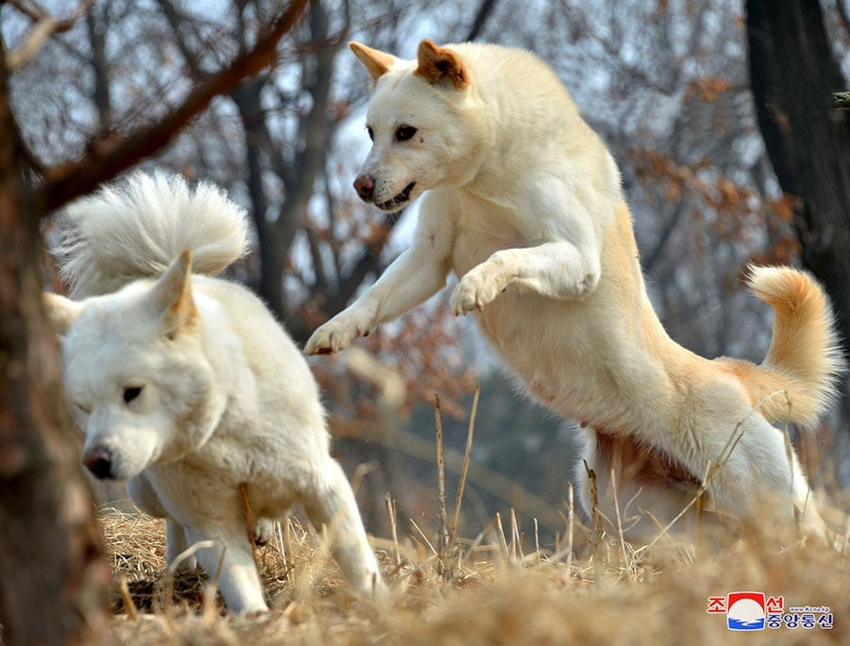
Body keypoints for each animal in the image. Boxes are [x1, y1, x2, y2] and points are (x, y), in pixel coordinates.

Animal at [46, 173, 384, 616]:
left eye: (133, 392)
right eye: (83, 406)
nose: (96, 462)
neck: (221, 430)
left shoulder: (323, 482)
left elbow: (358, 562)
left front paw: (386, 606)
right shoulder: (211, 524)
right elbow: (239, 585)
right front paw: (256, 620)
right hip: (147, 493)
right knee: (175, 527)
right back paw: (180, 566)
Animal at [302, 40, 840, 544]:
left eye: (406, 132)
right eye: (371, 132)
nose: (360, 186)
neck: (487, 175)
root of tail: (731, 372)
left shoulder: (577, 260)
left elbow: (508, 257)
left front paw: (478, 285)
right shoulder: (430, 257)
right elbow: (372, 300)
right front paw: (335, 332)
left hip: (767, 499)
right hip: (640, 517)